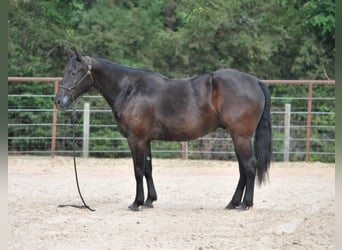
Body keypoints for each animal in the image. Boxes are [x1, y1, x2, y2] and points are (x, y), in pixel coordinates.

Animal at [54, 48, 272, 211]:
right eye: (64, 71)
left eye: (74, 72)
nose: (59, 101)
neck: (130, 88)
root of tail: (255, 81)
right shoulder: (146, 139)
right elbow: (148, 168)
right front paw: (149, 200)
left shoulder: (136, 138)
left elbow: (138, 169)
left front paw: (136, 203)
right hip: (237, 137)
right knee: (243, 168)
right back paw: (233, 203)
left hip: (240, 136)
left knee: (249, 165)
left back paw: (245, 204)